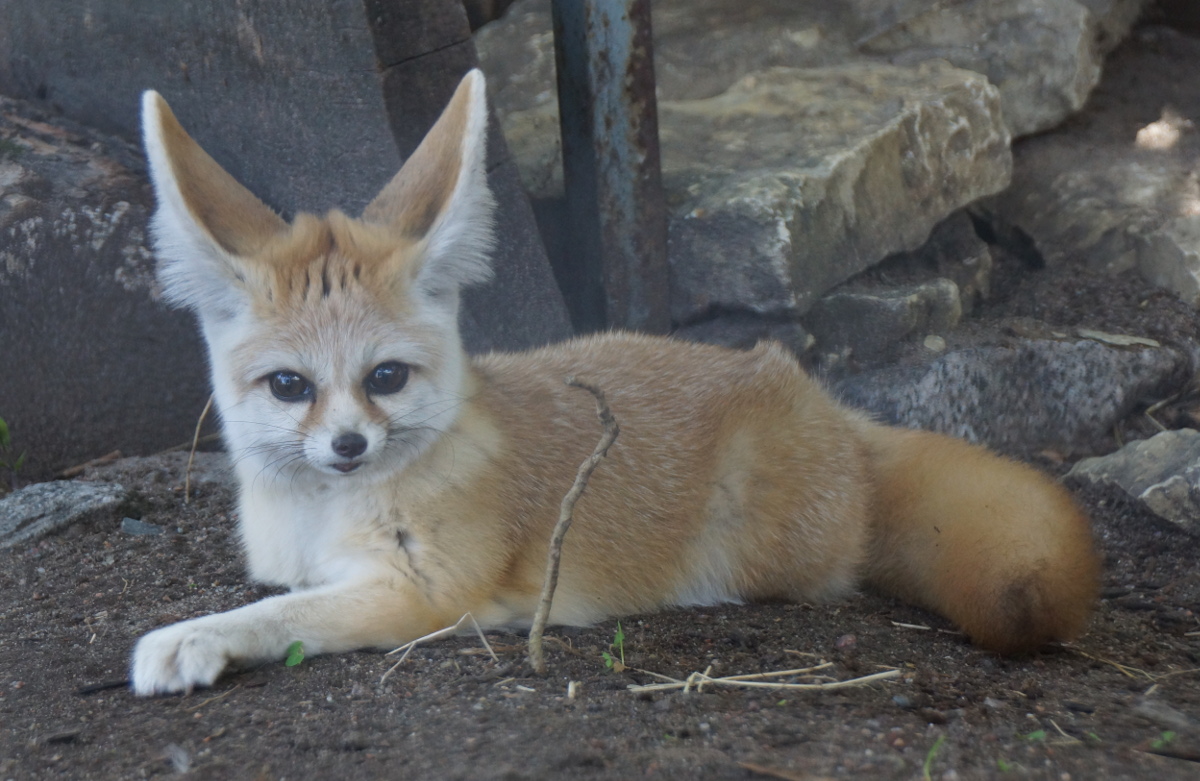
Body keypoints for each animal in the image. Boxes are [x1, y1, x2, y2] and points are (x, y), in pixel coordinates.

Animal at [131, 70, 1099, 695]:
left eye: (387, 377)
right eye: (289, 385)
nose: (346, 445)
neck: (318, 515)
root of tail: (818, 401)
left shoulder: (429, 592)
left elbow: (288, 614)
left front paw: (193, 638)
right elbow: (283, 596)